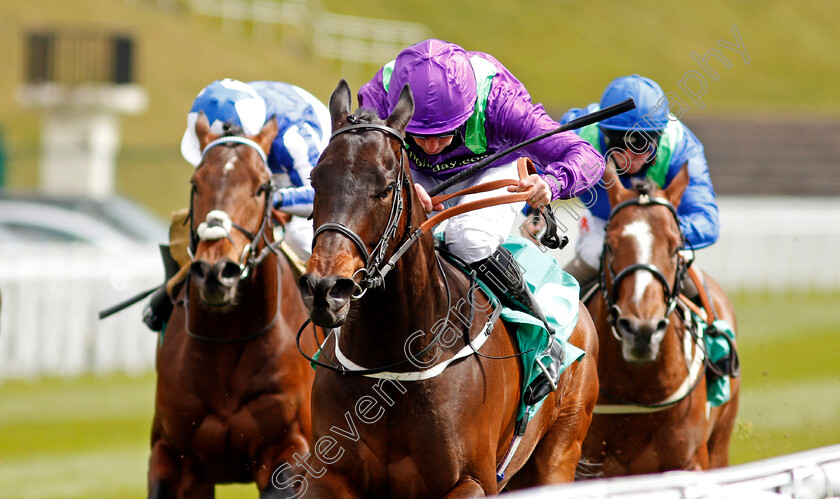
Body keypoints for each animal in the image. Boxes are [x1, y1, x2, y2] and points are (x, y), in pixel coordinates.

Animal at [148, 114, 316, 499]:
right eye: (196, 183)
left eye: (262, 187)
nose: (215, 270)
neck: (226, 346)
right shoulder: (173, 457)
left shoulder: (289, 448)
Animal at [298, 80, 600, 498]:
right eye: (315, 178)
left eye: (386, 187)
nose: (326, 288)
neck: (394, 365)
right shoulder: (329, 477)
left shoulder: (473, 480)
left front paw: (541, 186)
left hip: (559, 453)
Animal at [580, 165, 740, 476]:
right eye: (612, 246)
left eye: (675, 246)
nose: (642, 330)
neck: (639, 393)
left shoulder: (692, 463)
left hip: (721, 443)